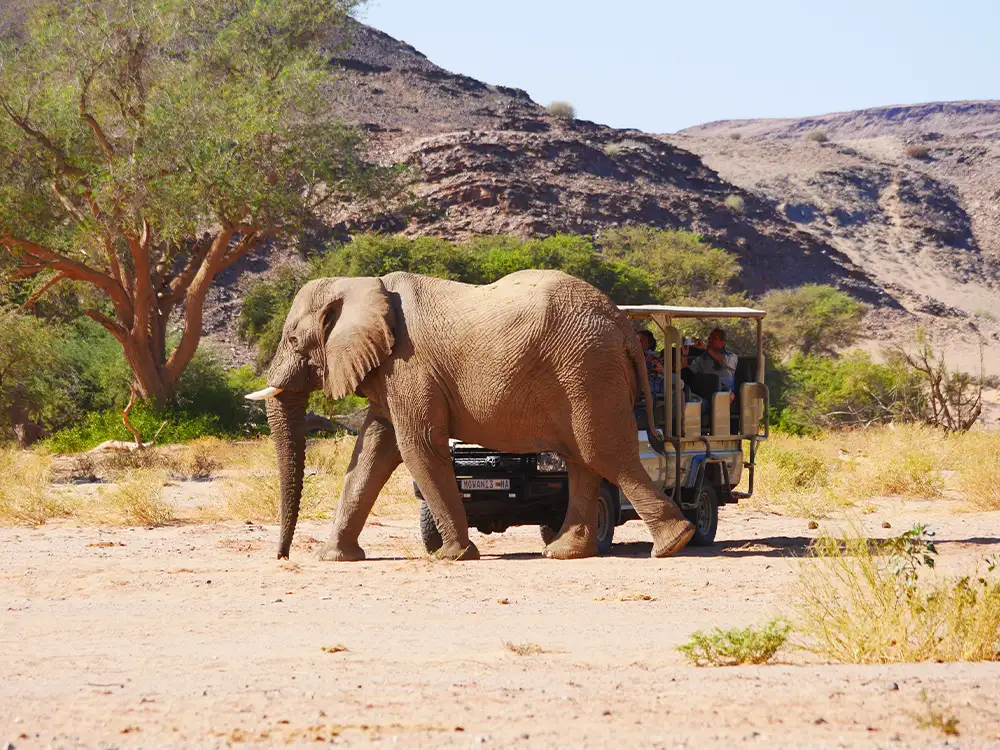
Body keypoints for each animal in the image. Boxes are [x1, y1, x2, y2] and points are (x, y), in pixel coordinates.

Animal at [247, 269, 696, 561]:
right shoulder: (392, 374)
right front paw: (335, 558)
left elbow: (417, 446)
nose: (282, 557)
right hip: (584, 372)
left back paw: (674, 544)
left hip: (587, 369)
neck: (361, 285)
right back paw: (566, 553)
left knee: (604, 452)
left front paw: (453, 556)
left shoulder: (410, 366)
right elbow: (372, 452)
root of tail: (622, 324)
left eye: (292, 339)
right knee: (581, 458)